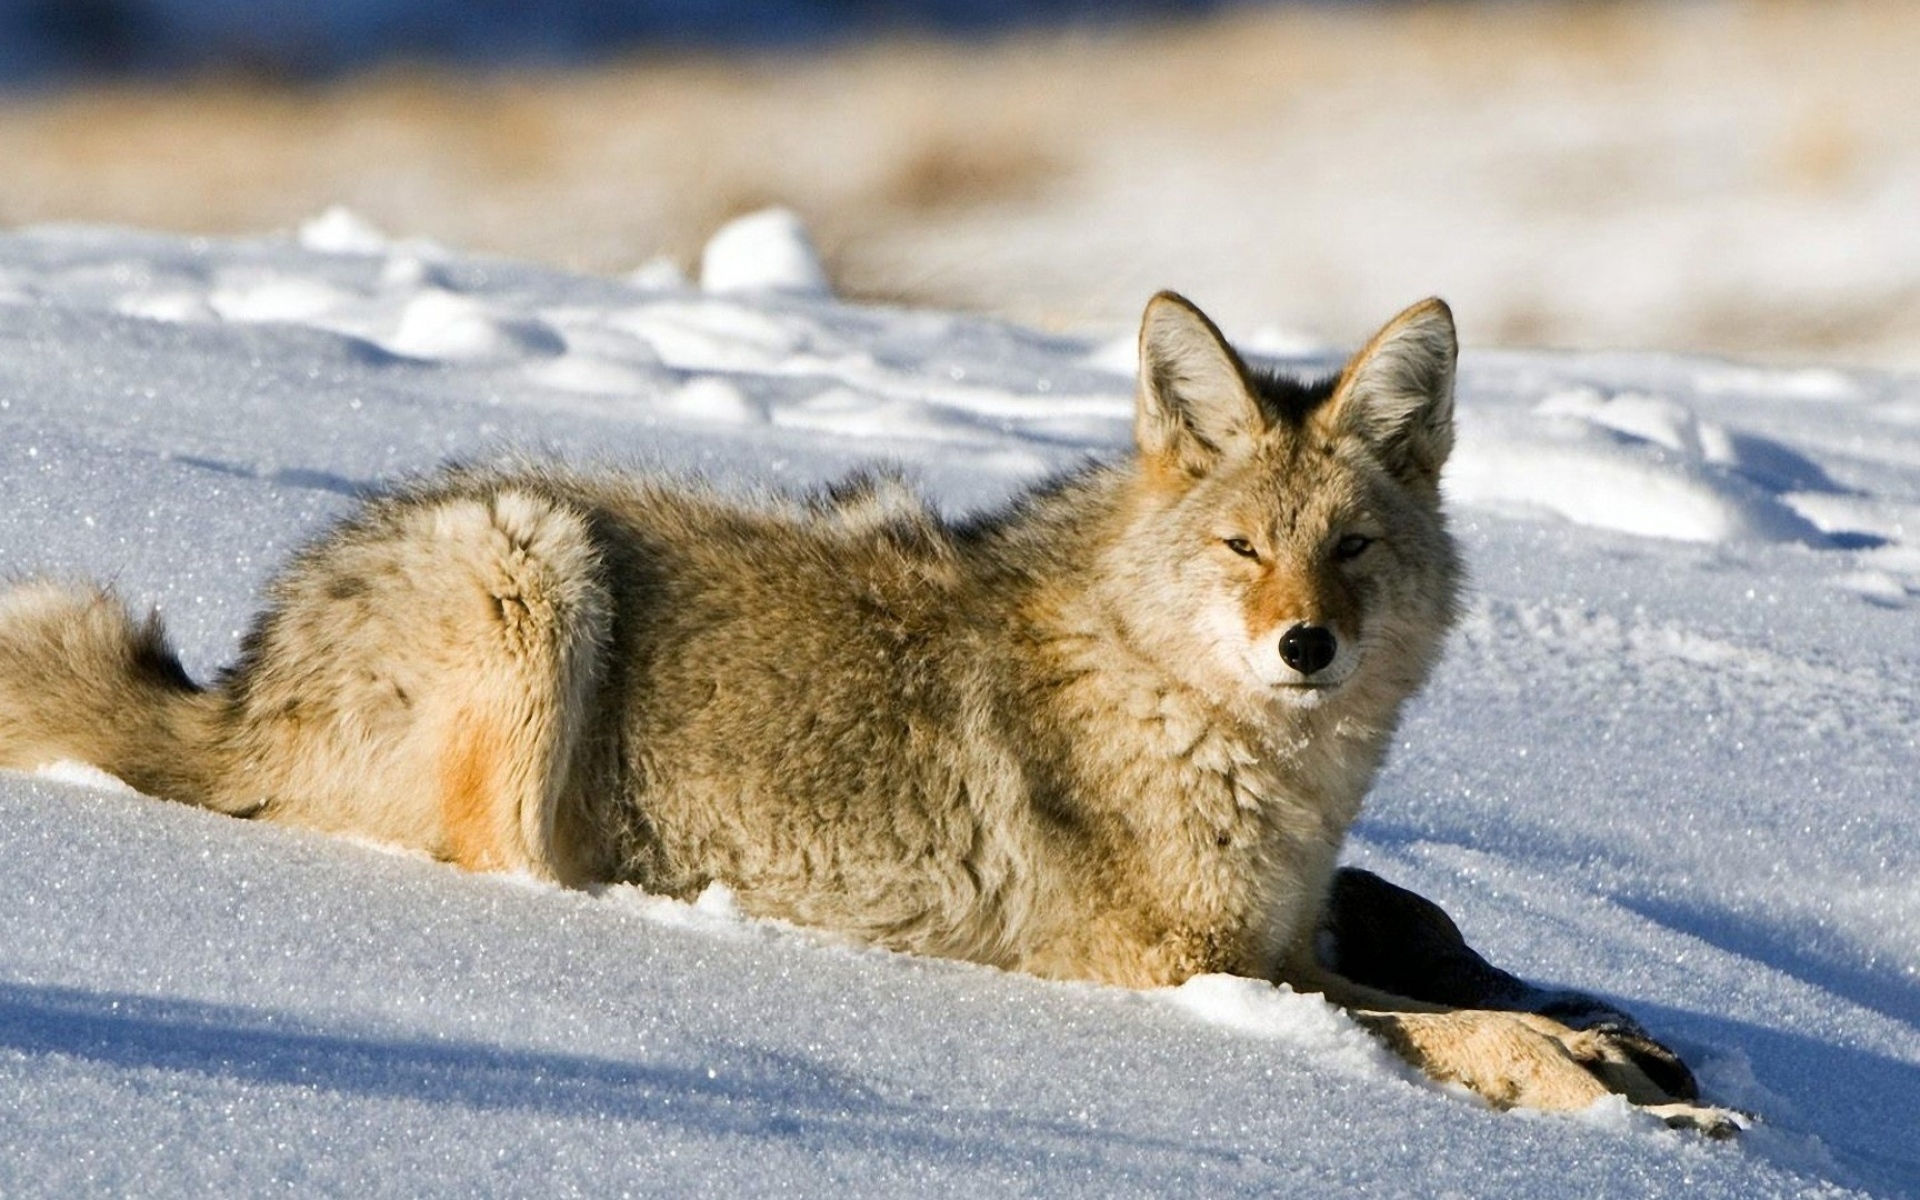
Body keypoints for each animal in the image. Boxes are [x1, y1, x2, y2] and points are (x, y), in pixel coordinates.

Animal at [0, 292, 1738, 1133]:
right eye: (1245, 548)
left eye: (1353, 550)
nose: (1306, 645)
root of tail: (245, 672)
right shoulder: (1175, 970)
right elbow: (1451, 1030)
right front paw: (1601, 1091)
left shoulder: (1284, 933)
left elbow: (1452, 968)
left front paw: (1621, 1038)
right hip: (532, 559)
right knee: (510, 866)